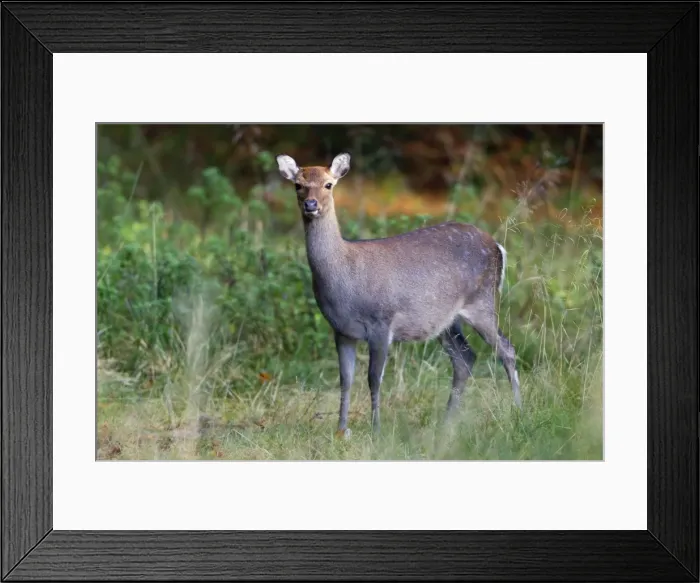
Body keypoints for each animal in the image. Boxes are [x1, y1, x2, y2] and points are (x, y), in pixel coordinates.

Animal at [276, 152, 522, 438]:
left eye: (329, 184)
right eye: (298, 185)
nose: (311, 204)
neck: (344, 278)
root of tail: (498, 247)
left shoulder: (381, 323)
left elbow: (374, 379)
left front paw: (376, 431)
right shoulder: (341, 330)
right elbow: (345, 379)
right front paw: (341, 430)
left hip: (482, 301)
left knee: (507, 349)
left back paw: (517, 411)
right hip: (445, 319)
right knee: (465, 357)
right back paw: (447, 423)